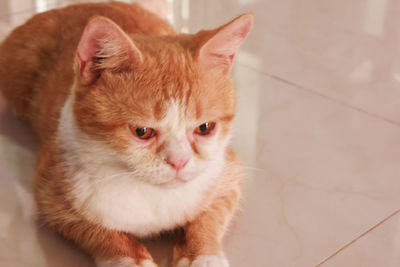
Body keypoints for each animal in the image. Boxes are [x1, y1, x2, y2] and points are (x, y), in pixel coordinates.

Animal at [0, 1, 252, 266]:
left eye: (204, 128)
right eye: (142, 131)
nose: (179, 162)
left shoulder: (227, 174)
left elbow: (209, 217)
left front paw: (202, 254)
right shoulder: (51, 194)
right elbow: (101, 232)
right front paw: (131, 258)